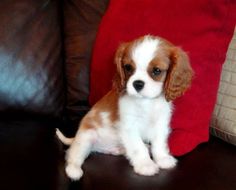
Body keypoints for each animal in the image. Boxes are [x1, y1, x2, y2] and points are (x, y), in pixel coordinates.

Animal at [57, 35, 194, 180]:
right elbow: (138, 148)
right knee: (73, 155)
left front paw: (163, 159)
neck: (146, 102)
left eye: (156, 70)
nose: (137, 83)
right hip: (86, 136)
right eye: (128, 68)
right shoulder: (129, 126)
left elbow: (159, 144)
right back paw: (73, 170)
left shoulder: (160, 124)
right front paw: (146, 165)